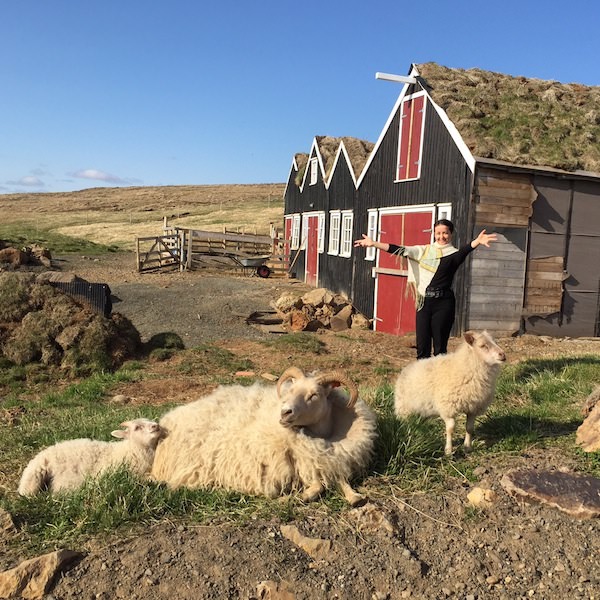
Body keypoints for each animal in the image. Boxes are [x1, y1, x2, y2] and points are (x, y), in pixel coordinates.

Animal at [150, 368, 377, 506]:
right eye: (291, 389)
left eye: (315, 395)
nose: (285, 412)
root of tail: (168, 420)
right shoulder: (302, 463)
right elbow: (318, 486)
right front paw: (295, 497)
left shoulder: (329, 459)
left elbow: (339, 478)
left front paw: (355, 497)